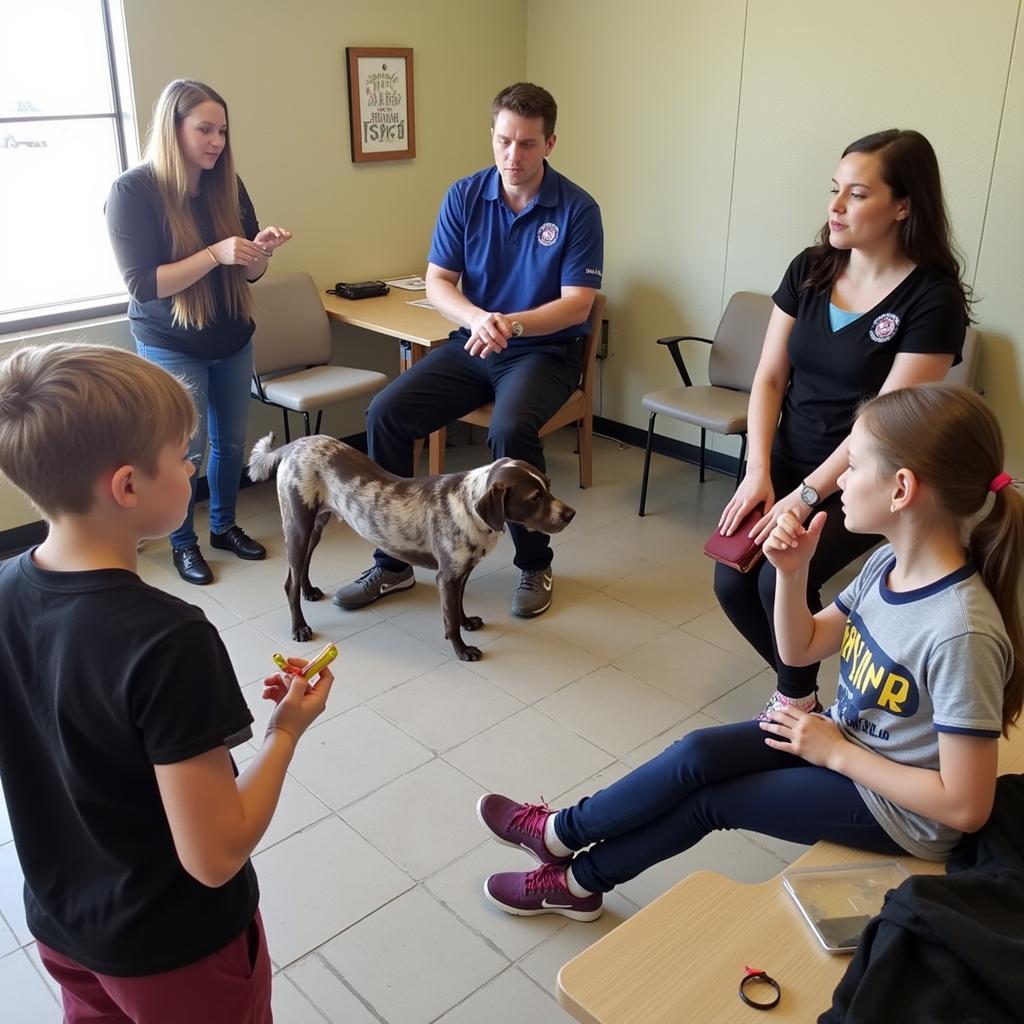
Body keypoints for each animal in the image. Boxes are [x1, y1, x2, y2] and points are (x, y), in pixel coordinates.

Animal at [243, 434, 573, 663]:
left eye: (548, 484)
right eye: (534, 497)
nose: (570, 514)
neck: (469, 506)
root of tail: (294, 445)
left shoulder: (461, 572)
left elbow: (458, 606)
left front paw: (467, 621)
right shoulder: (447, 576)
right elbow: (449, 619)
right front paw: (461, 649)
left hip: (315, 526)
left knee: (301, 568)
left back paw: (309, 591)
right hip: (298, 526)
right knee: (289, 583)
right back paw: (299, 627)